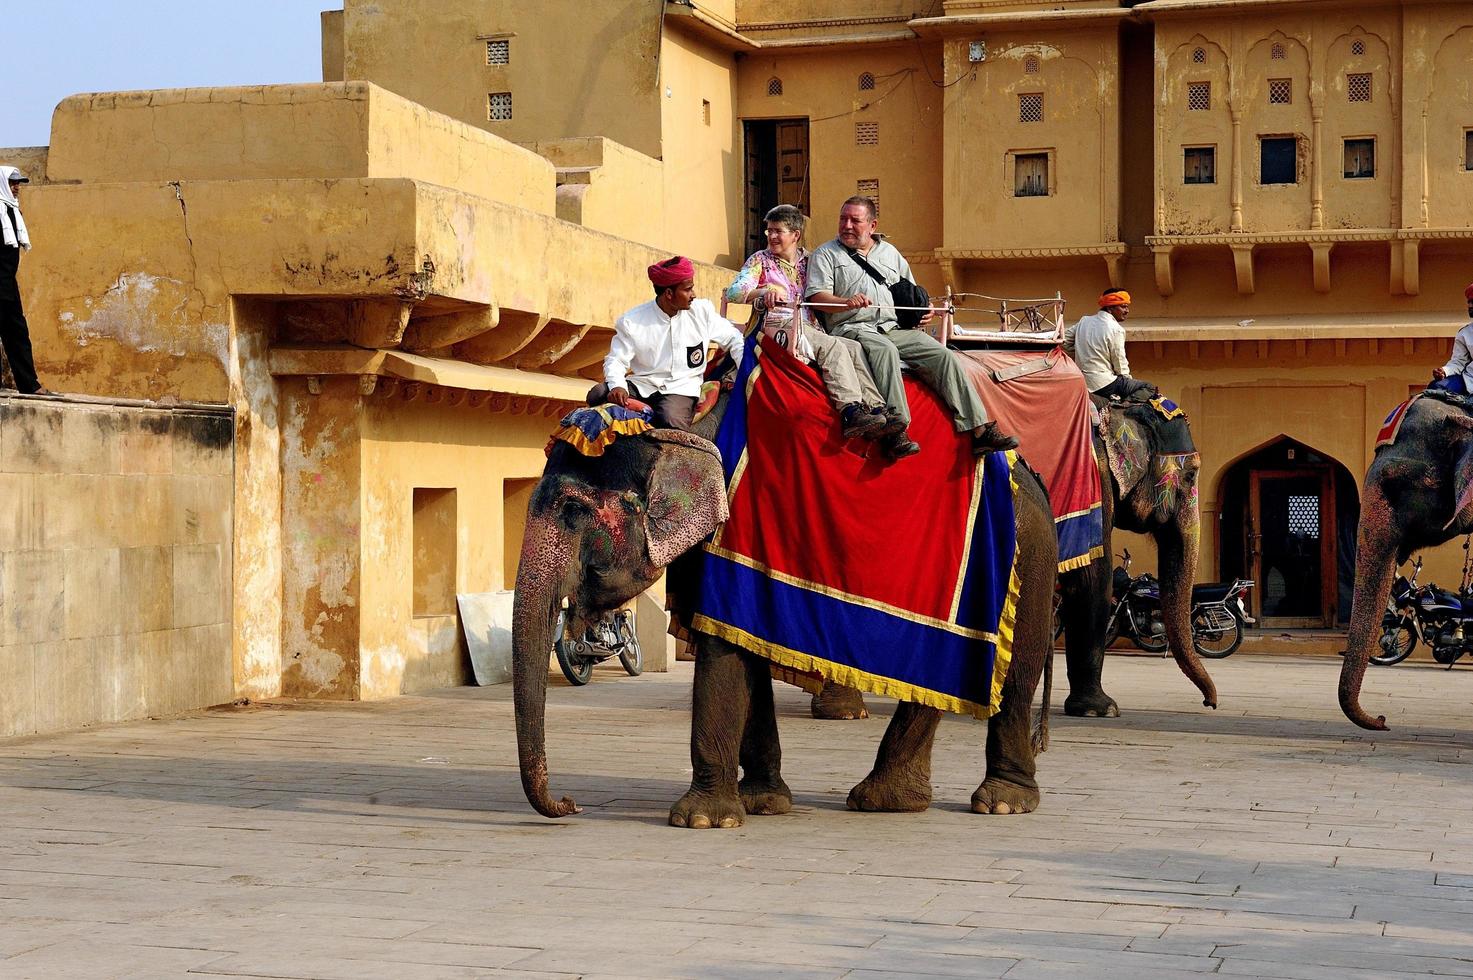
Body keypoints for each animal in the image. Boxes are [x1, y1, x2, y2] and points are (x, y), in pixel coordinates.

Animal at [515, 341, 1060, 819]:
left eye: (572, 511)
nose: (569, 804)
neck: (684, 427)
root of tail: (1033, 476)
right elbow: (741, 641)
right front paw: (762, 804)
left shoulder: (741, 527)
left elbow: (723, 648)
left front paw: (703, 819)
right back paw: (888, 801)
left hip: (1027, 556)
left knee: (1013, 675)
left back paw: (1001, 802)